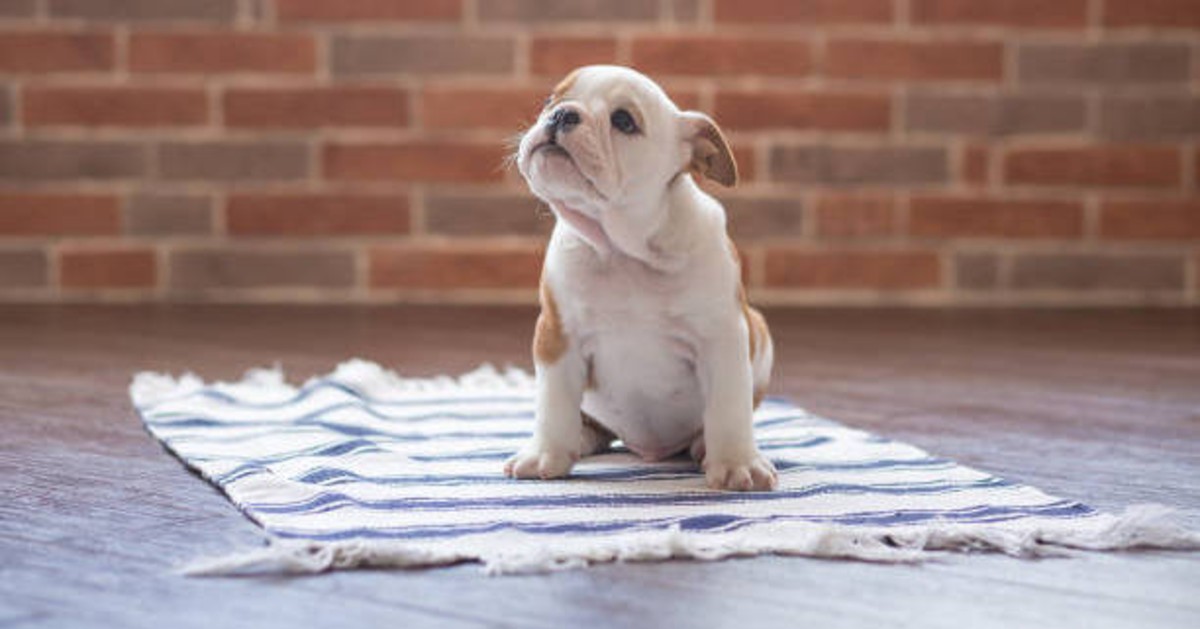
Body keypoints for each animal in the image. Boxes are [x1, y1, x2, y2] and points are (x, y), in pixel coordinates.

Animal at [499, 65, 772, 492]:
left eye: (623, 121)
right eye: (549, 100)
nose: (562, 114)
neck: (622, 249)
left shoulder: (723, 337)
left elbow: (729, 407)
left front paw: (736, 463)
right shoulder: (557, 336)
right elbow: (554, 403)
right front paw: (546, 454)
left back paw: (701, 445)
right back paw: (581, 437)